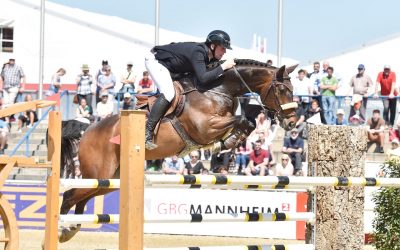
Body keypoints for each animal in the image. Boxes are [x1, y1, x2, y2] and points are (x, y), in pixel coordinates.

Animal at [57, 58, 298, 242]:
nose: (292, 123)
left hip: (110, 180)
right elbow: (243, 120)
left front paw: (227, 146)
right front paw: (225, 143)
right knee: (70, 195)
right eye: (282, 89)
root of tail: (88, 129)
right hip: (100, 173)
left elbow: (248, 122)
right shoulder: (205, 127)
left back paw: (71, 229)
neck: (218, 90)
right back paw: (61, 229)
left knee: (82, 198)